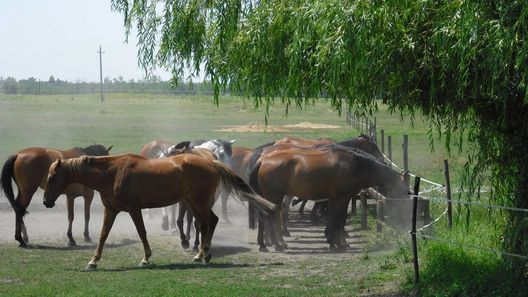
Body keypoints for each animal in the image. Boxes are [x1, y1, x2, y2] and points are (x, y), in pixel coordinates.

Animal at [42, 153, 274, 268]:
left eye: (52, 176)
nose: (45, 201)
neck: (112, 173)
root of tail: (210, 161)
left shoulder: (134, 209)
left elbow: (141, 232)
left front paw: (145, 258)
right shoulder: (111, 210)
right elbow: (103, 235)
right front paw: (93, 261)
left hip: (198, 203)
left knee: (208, 223)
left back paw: (202, 254)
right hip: (194, 203)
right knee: (209, 223)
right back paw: (203, 254)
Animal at [249, 145, 408, 251]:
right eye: (403, 192)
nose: (402, 215)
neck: (354, 165)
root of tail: (263, 160)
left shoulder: (341, 199)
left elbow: (339, 218)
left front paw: (338, 241)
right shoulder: (340, 198)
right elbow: (336, 218)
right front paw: (334, 242)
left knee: (264, 217)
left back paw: (265, 244)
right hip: (274, 196)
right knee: (271, 217)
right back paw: (276, 244)